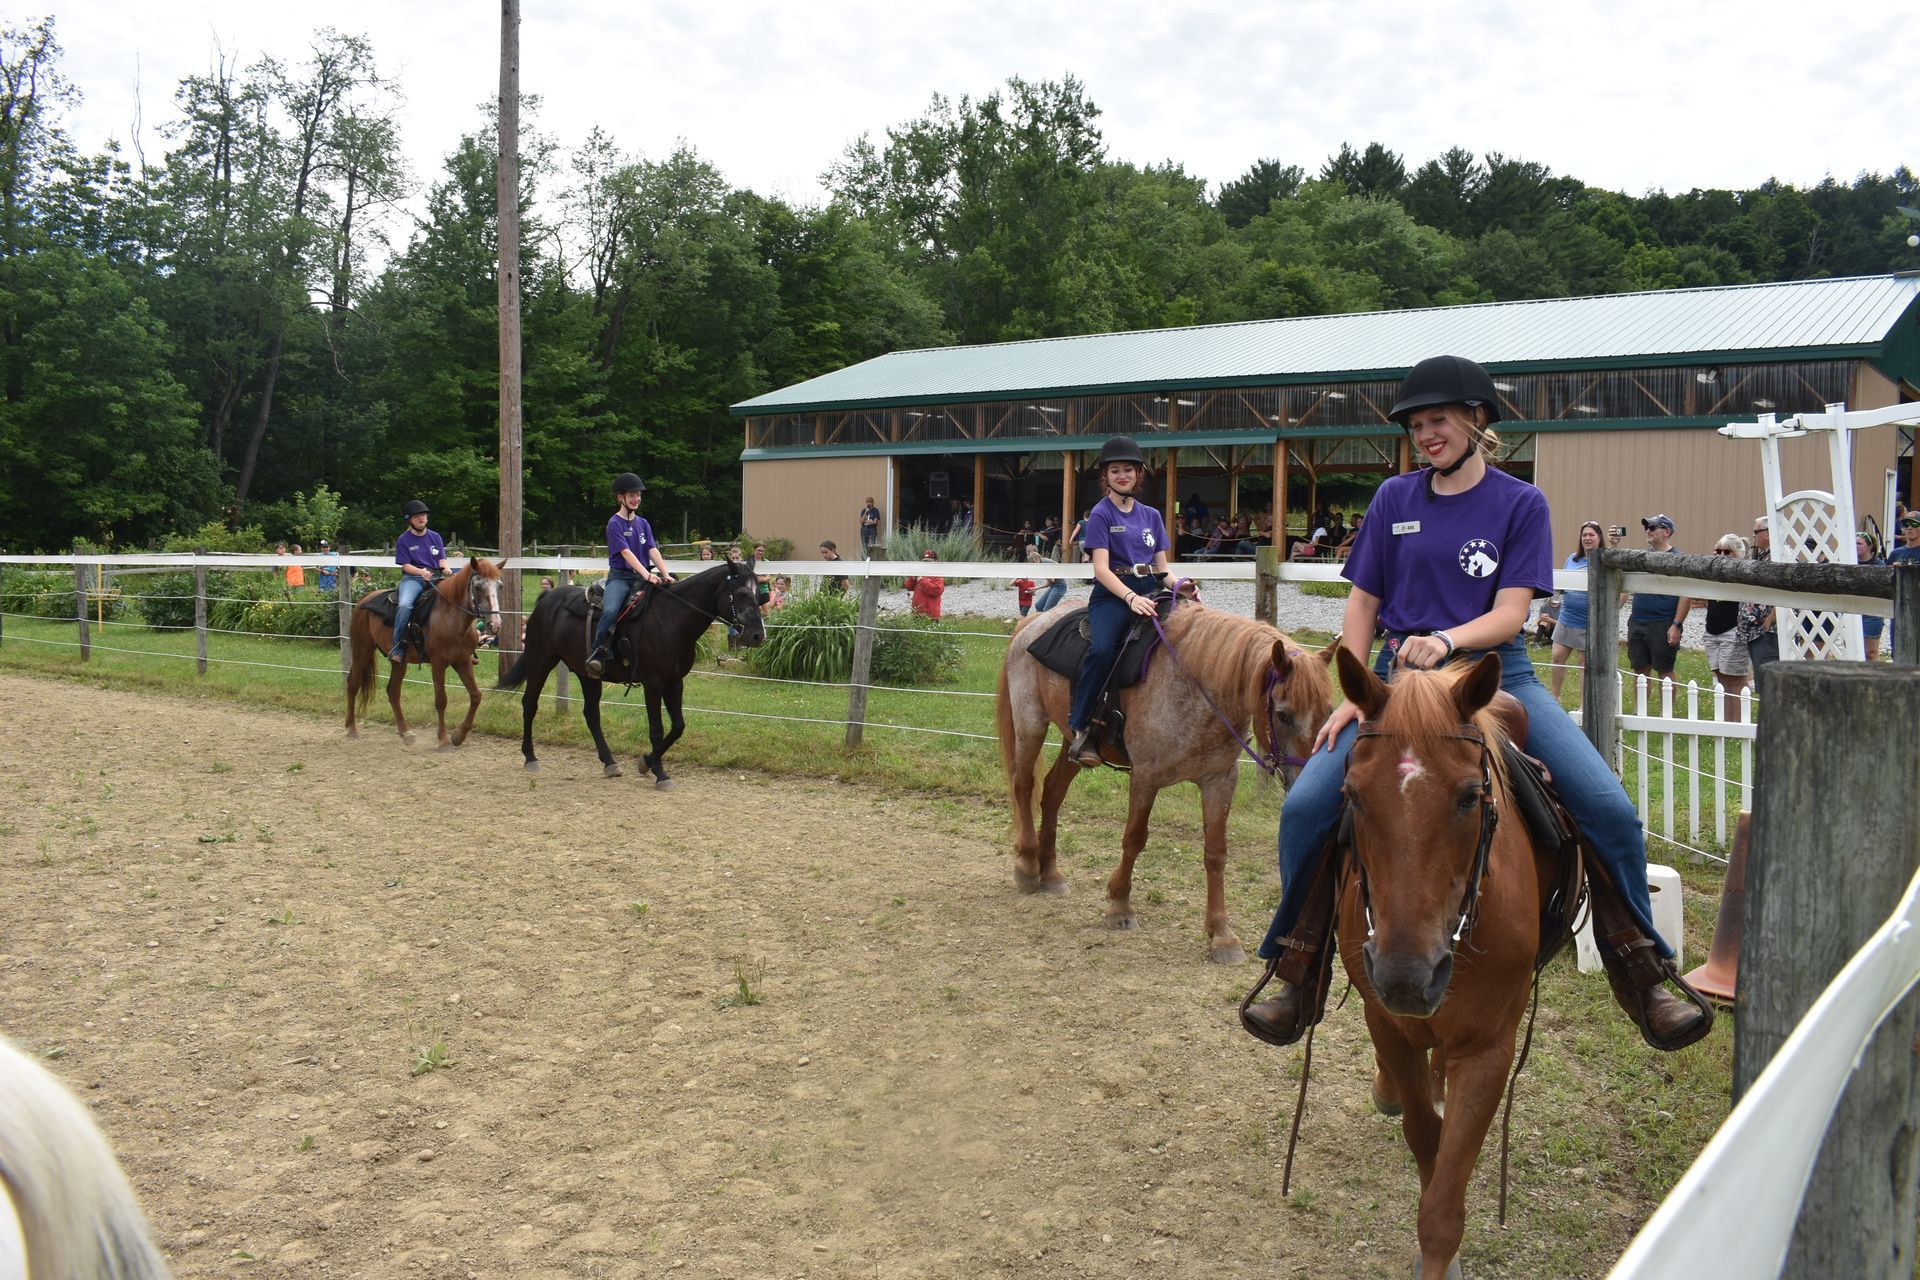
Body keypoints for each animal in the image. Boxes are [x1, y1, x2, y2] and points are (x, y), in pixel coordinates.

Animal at [343, 560, 503, 752]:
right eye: (478, 587)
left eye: (500, 586)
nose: (495, 625)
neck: (451, 616)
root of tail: (364, 598)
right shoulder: (438, 663)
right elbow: (441, 700)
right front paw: (444, 740)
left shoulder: (463, 661)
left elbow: (476, 696)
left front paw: (458, 736)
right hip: (362, 650)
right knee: (353, 684)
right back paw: (351, 729)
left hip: (399, 662)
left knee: (393, 691)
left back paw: (406, 733)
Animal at [495, 564, 764, 786]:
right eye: (742, 593)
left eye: (760, 594)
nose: (758, 635)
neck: (671, 618)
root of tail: (547, 599)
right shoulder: (653, 683)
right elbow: (656, 728)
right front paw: (660, 773)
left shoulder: (675, 682)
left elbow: (678, 726)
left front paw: (646, 762)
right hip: (540, 660)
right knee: (530, 704)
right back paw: (530, 757)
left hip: (587, 674)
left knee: (591, 714)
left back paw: (610, 762)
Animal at [990, 610, 1336, 959]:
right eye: (1283, 714)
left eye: (1329, 712)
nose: (1305, 780)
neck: (1195, 688)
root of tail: (1034, 620)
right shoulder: (1146, 777)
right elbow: (1134, 839)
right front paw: (1119, 906)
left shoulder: (1219, 781)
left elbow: (1216, 853)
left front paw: (1222, 934)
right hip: (1031, 723)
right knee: (1023, 785)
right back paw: (1028, 866)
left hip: (1070, 742)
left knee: (1052, 792)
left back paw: (1051, 873)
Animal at [1336, 652, 1559, 1280]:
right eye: (1352, 795)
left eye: (1468, 797)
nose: (1407, 978)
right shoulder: (1387, 1024)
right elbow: (1424, 1136)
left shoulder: (1487, 1049)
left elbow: (1444, 1204)